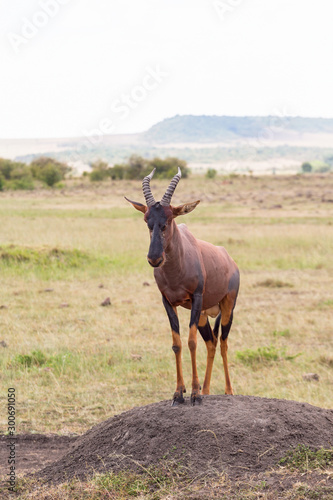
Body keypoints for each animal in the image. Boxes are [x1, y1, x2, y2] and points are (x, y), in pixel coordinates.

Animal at [125, 168, 239, 406]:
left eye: (169, 220)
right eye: (147, 220)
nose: (154, 258)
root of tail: (229, 259)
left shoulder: (195, 298)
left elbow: (191, 342)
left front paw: (194, 394)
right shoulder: (167, 302)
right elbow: (177, 343)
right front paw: (179, 393)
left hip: (227, 308)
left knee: (223, 342)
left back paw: (228, 391)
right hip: (204, 314)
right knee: (211, 343)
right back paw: (207, 390)